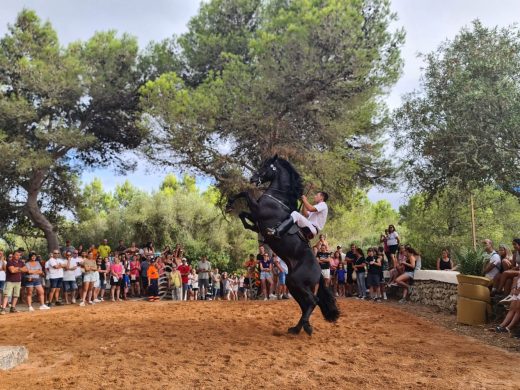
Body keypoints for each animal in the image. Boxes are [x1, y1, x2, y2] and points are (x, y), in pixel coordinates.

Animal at [225, 155, 340, 336]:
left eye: (266, 166)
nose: (253, 179)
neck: (277, 199)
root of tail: (319, 271)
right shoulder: (255, 216)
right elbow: (243, 214)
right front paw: (245, 222)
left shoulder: (258, 209)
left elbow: (245, 193)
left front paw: (229, 203)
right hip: (293, 285)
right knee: (306, 304)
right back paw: (297, 328)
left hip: (296, 283)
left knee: (312, 301)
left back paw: (305, 327)